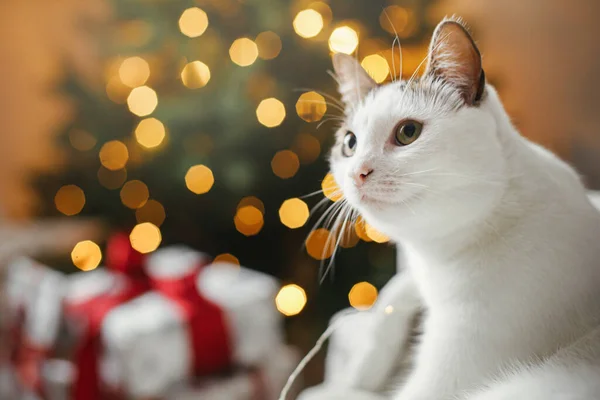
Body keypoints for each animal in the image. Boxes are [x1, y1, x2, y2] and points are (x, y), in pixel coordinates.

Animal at [302, 17, 600, 400]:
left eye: (408, 132)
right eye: (349, 143)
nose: (357, 173)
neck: (437, 256)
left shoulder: (448, 375)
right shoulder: (412, 278)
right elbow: (390, 298)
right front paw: (363, 369)